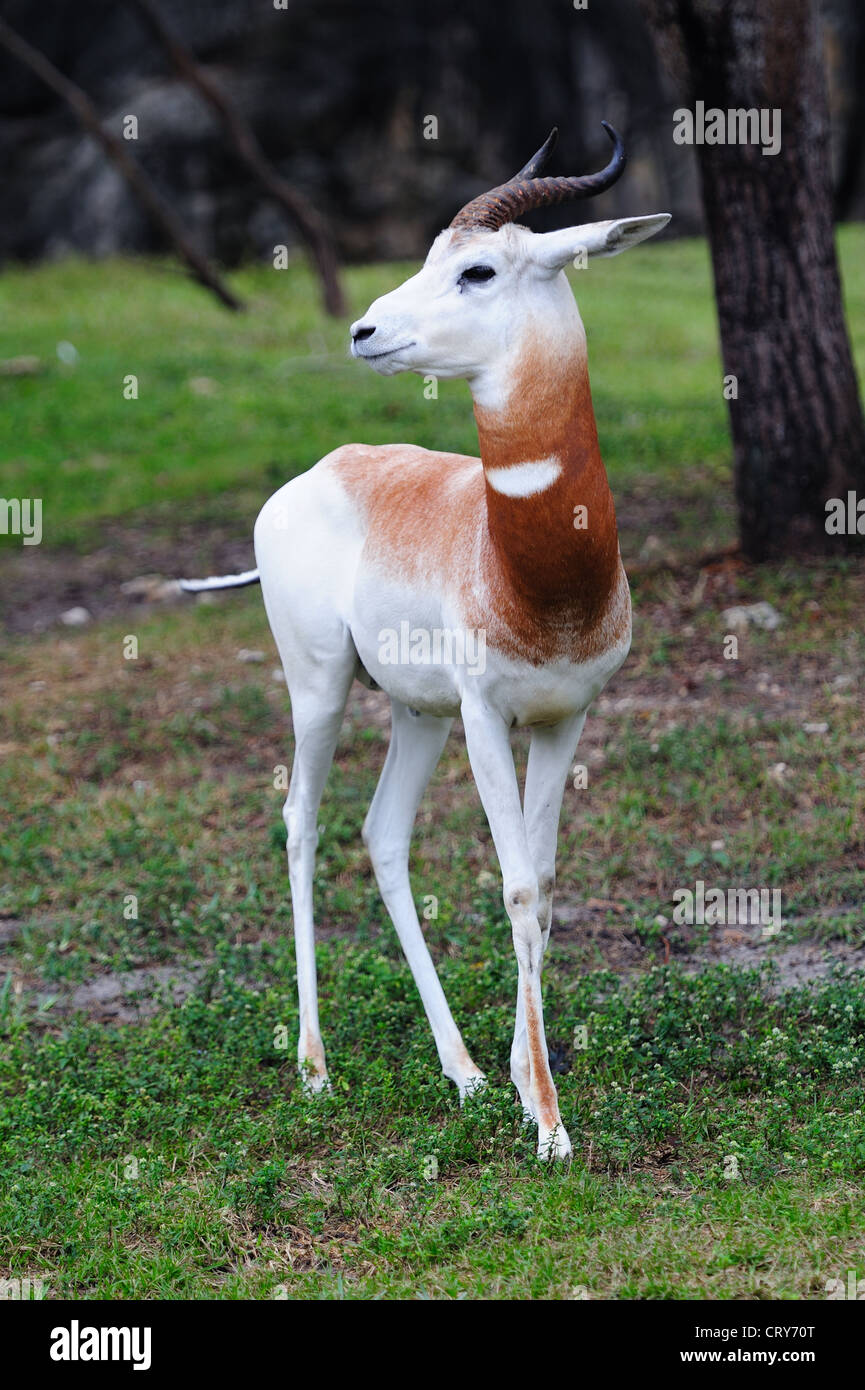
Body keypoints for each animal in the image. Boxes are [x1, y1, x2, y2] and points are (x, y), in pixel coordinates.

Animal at [183, 124, 669, 1159]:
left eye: (476, 270)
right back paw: (315, 1071)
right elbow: (515, 887)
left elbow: (544, 883)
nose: (364, 331)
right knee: (300, 823)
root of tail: (320, 471)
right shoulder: (488, 715)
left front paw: (524, 1086)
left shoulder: (564, 717)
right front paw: (551, 1130)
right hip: (321, 688)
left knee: (381, 835)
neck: (535, 582)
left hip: (416, 713)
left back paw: (463, 1072)